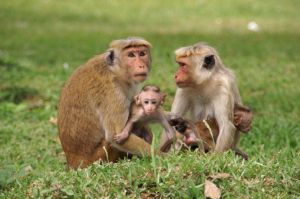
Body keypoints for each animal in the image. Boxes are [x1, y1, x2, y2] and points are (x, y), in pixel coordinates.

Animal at [57, 37, 164, 168]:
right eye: (131, 55)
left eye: (142, 53)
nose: (141, 65)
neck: (113, 70)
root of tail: (73, 162)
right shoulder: (112, 93)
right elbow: (116, 136)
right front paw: (163, 155)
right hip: (98, 157)